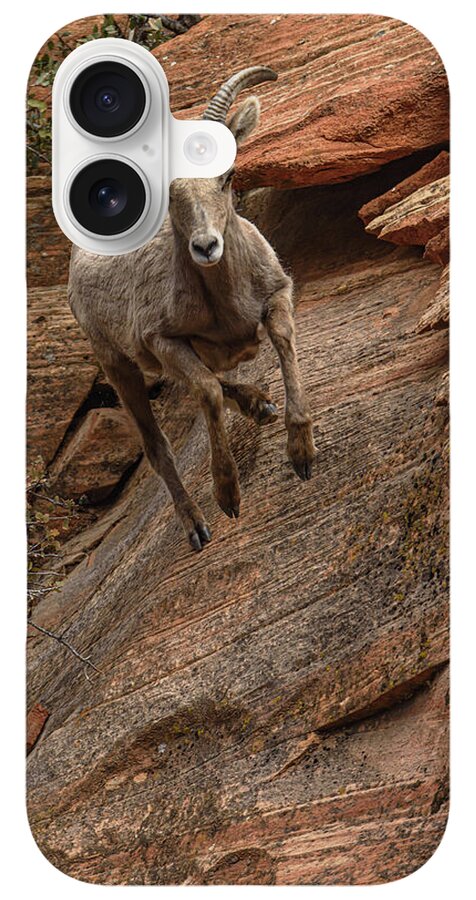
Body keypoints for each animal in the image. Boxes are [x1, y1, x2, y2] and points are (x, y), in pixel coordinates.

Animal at [68, 66, 316, 551]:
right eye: (168, 191)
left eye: (228, 175)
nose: (206, 247)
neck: (227, 302)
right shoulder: (164, 340)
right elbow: (207, 391)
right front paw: (228, 496)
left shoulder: (277, 295)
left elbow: (282, 344)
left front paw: (301, 454)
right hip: (117, 364)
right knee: (158, 444)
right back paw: (197, 527)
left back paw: (260, 405)